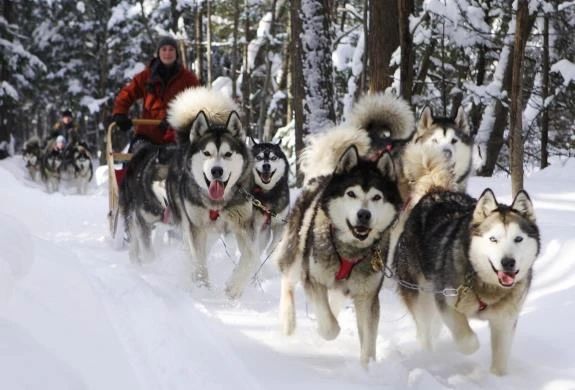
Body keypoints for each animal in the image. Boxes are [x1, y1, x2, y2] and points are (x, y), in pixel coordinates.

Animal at [166, 86, 256, 298]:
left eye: (228, 154)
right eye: (206, 153)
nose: (216, 171)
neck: (218, 203)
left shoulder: (242, 224)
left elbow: (251, 257)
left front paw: (234, 286)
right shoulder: (196, 227)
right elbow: (198, 261)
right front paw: (201, 287)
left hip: (214, 231)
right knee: (192, 253)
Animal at [276, 146, 402, 366]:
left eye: (377, 197)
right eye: (351, 193)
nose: (364, 214)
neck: (350, 250)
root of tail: (324, 176)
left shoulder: (367, 296)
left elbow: (368, 341)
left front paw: (368, 368)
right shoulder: (313, 279)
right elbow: (330, 326)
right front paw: (323, 330)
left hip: (343, 289)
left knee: (334, 301)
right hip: (296, 256)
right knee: (288, 282)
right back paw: (289, 322)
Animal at [394, 187, 544, 376]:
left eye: (518, 239)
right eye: (493, 239)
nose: (508, 262)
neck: (485, 286)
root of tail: (435, 191)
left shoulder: (505, 320)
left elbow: (501, 356)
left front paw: (497, 377)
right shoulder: (445, 301)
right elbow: (467, 340)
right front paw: (469, 348)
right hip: (421, 295)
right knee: (424, 330)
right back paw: (429, 356)